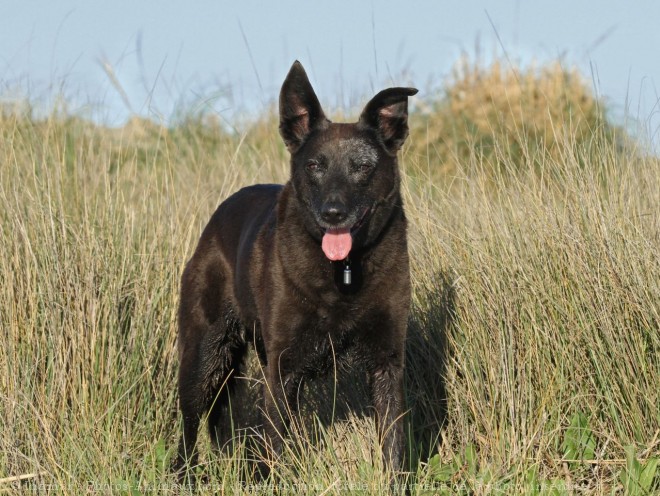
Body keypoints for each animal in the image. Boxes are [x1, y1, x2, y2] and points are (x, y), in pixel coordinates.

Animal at [173, 60, 416, 478]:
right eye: (315, 165)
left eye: (362, 167)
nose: (332, 214)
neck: (344, 273)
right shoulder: (282, 370)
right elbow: (273, 446)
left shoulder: (386, 363)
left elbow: (393, 448)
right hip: (204, 355)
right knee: (189, 425)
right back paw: (184, 476)